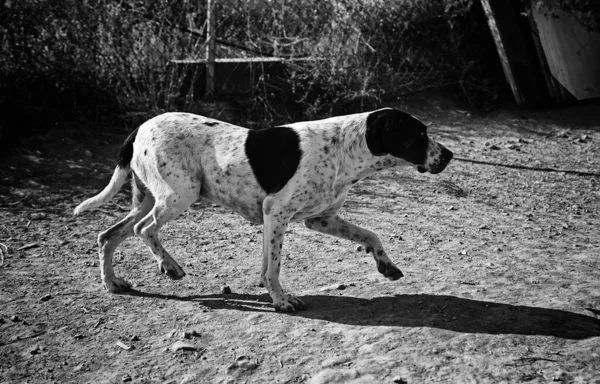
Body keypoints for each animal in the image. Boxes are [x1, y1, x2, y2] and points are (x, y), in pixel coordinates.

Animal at [74, 108, 450, 312]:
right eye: (419, 134)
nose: (449, 156)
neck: (344, 148)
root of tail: (140, 126)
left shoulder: (320, 219)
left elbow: (371, 235)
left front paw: (387, 266)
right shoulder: (277, 213)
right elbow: (274, 267)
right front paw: (282, 301)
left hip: (149, 200)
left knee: (107, 236)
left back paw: (112, 283)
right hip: (180, 196)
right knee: (144, 230)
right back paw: (169, 266)